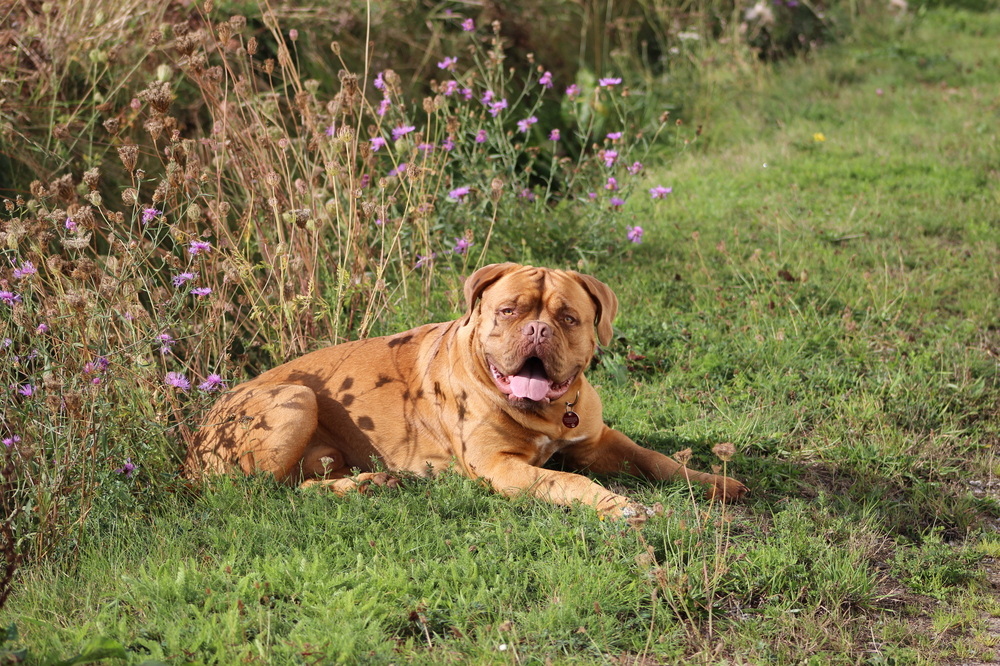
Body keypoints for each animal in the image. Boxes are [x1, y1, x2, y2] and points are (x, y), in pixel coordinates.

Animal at [184, 262, 748, 516]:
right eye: (509, 311)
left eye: (567, 317)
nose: (537, 330)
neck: (546, 415)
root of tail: (196, 436)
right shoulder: (500, 466)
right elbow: (569, 482)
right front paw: (618, 506)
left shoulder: (597, 440)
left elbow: (656, 459)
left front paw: (713, 481)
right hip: (294, 398)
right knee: (270, 491)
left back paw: (371, 482)